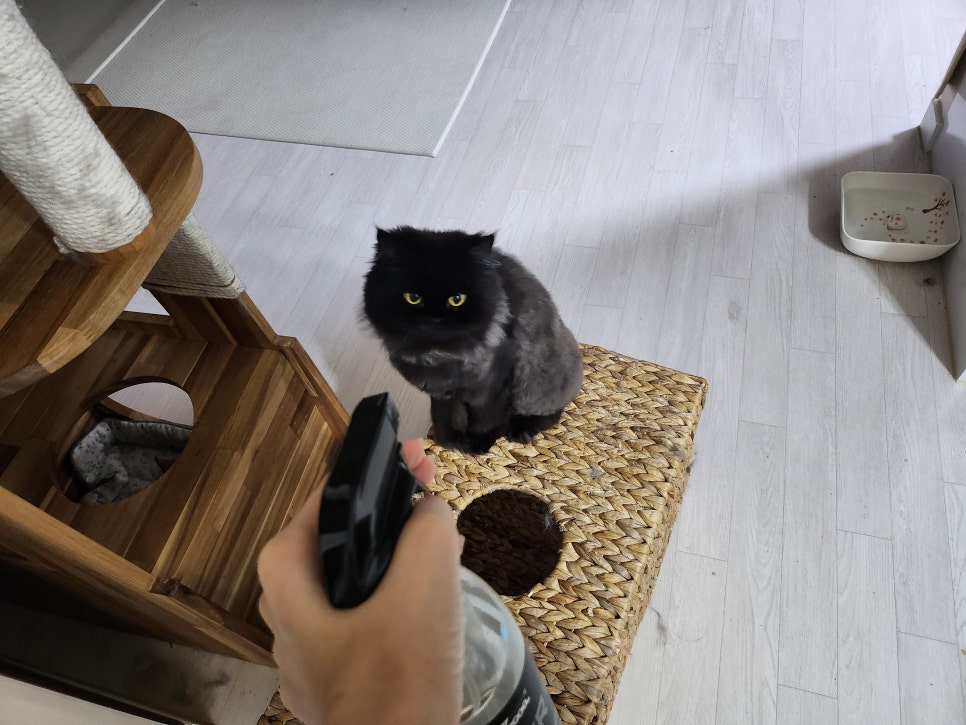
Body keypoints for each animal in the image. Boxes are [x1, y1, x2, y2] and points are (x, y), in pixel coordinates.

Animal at [362, 226, 583, 454]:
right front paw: (448, 441)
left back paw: (521, 430)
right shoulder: (442, 393)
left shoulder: (493, 389)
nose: (435, 319)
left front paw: (478, 445)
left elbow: (485, 421)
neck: (440, 356)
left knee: (550, 413)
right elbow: (445, 415)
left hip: (537, 387)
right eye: (413, 298)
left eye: (457, 299)